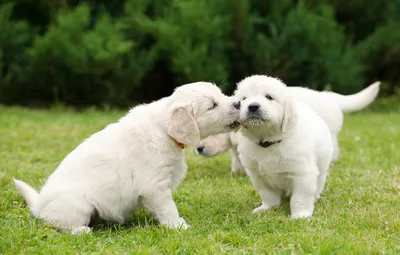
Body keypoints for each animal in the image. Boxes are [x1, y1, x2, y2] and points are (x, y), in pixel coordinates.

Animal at [13, 82, 241, 235]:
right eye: (212, 105)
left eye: (222, 95)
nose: (238, 103)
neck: (164, 128)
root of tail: (39, 205)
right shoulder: (154, 185)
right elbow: (168, 207)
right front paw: (177, 225)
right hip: (78, 205)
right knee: (55, 223)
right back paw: (81, 230)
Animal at [236, 74, 332, 218]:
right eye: (244, 99)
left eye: (269, 97)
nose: (252, 106)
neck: (269, 142)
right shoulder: (257, 175)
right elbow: (267, 194)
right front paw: (267, 208)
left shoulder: (302, 173)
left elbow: (299, 198)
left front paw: (300, 216)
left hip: (322, 168)